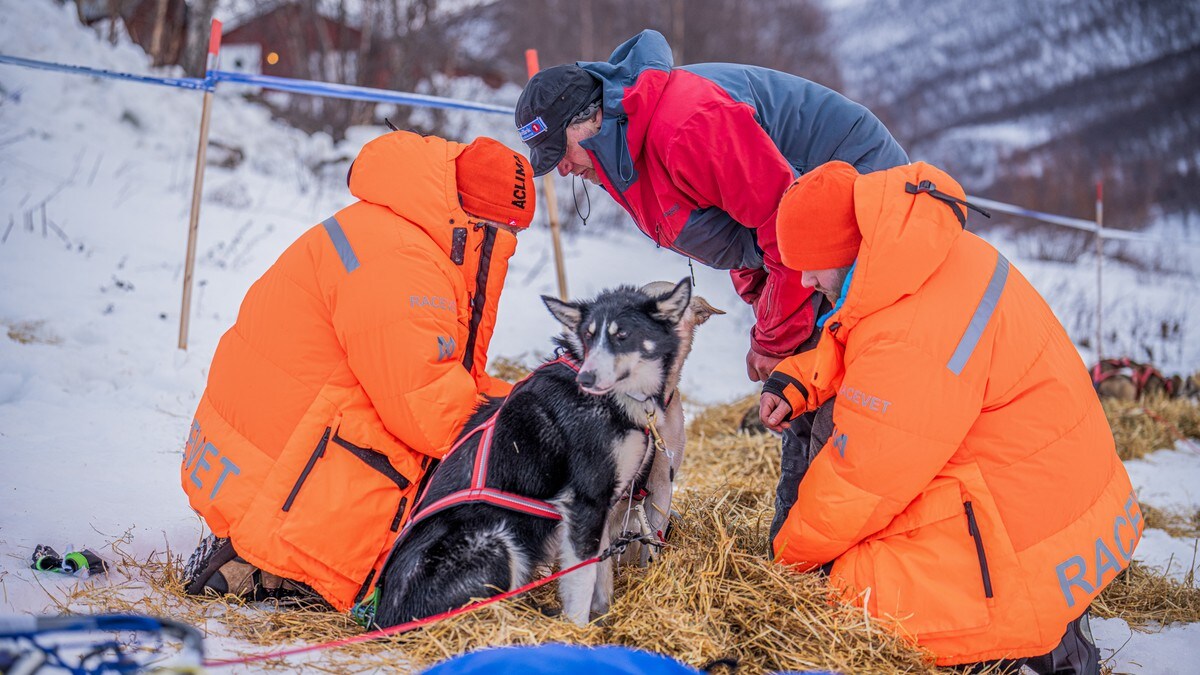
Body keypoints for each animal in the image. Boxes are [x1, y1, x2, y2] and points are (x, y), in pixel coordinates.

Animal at [372, 276, 720, 624]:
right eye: (588, 336)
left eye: (622, 335)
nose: (587, 377)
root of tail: (384, 615)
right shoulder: (587, 500)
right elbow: (583, 579)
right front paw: (578, 630)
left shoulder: (611, 503)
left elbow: (601, 574)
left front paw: (602, 620)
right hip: (497, 541)